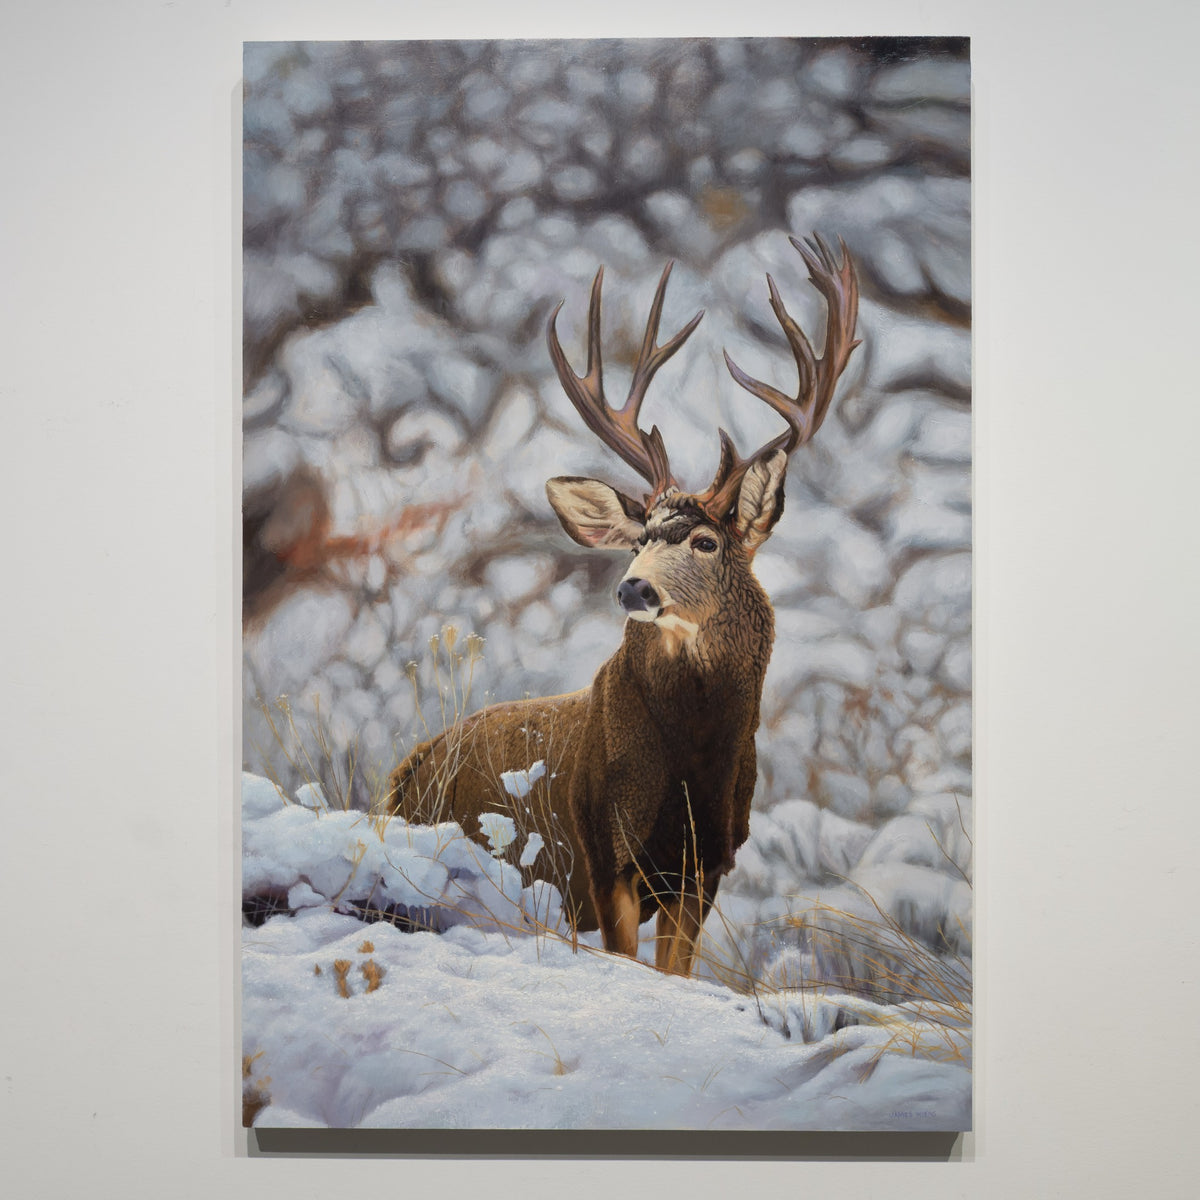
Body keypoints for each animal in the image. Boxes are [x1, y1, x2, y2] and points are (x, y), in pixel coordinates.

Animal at [388, 235, 860, 975]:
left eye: (705, 541)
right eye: (637, 541)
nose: (633, 587)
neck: (692, 771)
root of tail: (405, 774)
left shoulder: (705, 870)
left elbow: (676, 971)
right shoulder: (602, 853)